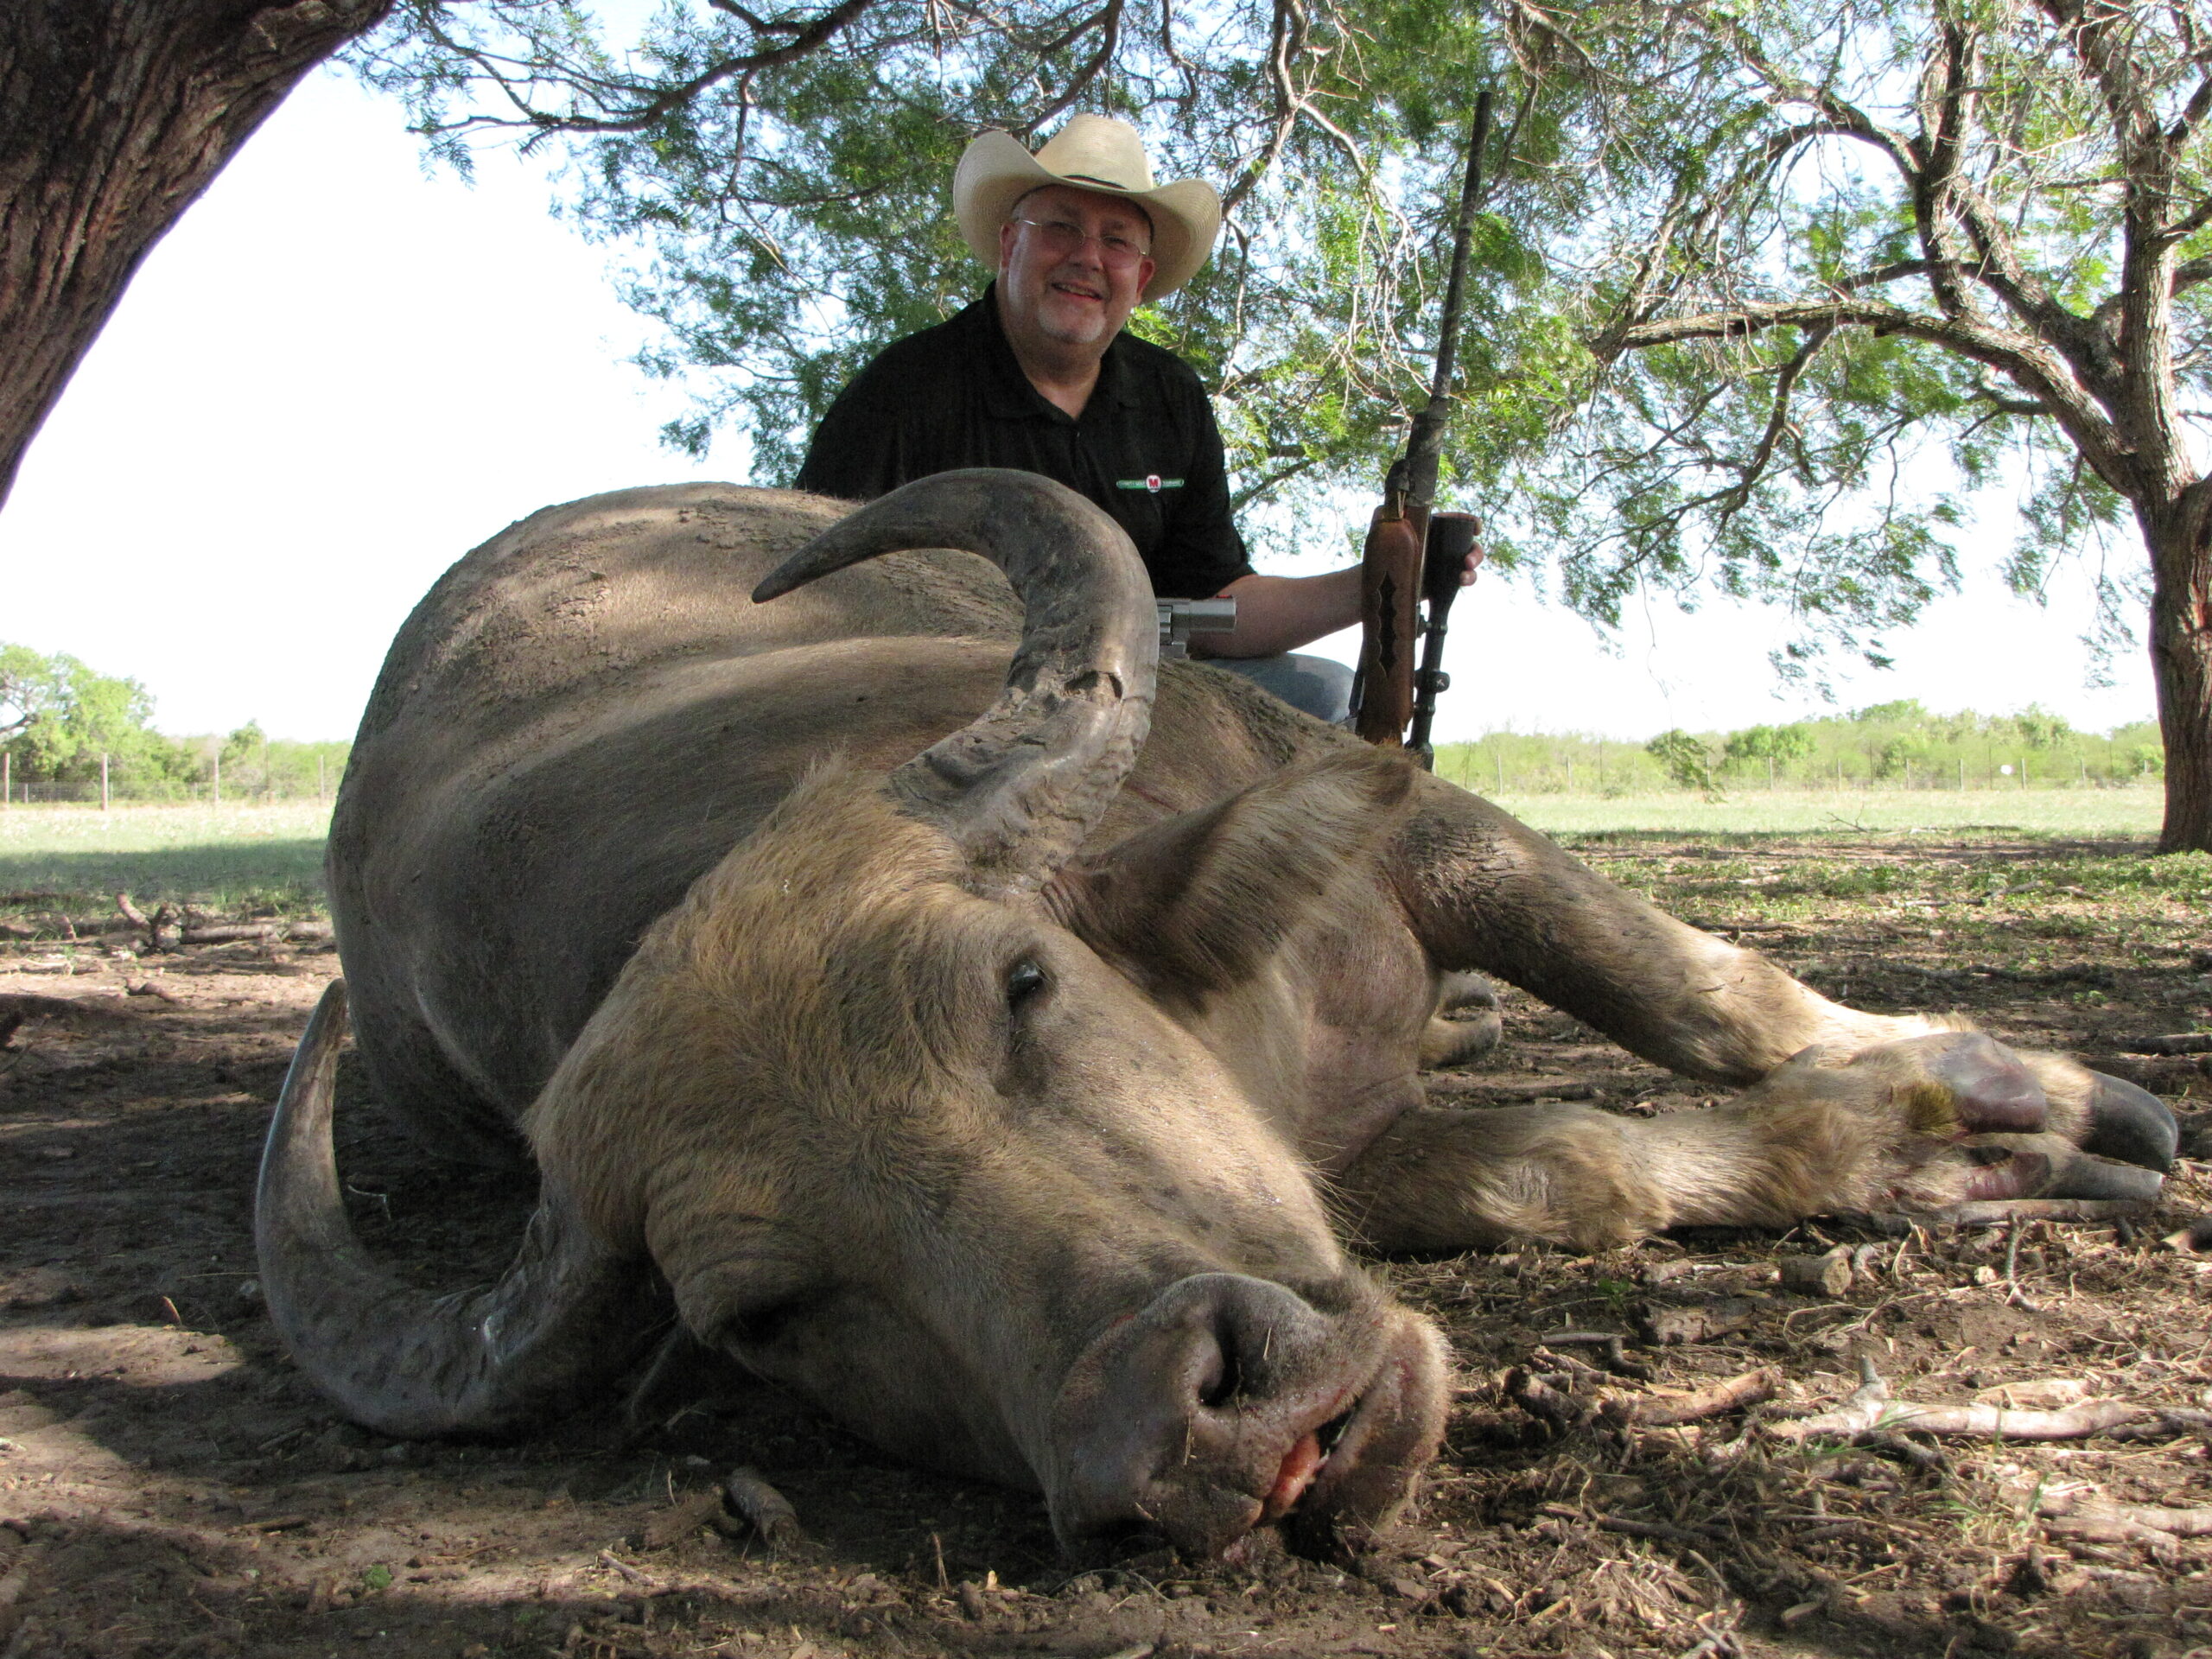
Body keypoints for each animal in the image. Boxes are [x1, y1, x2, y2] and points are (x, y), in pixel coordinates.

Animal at [258, 471, 2177, 1574]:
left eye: (1021, 986)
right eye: (766, 1316)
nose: (1212, 1434)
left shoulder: (1419, 826)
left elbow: (1695, 990)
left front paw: (2030, 1094)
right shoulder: (1348, 1164)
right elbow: (1576, 1172)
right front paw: (1933, 1152)